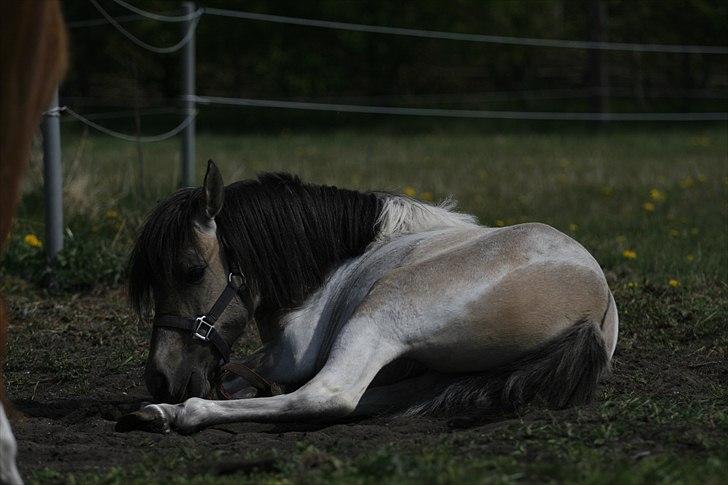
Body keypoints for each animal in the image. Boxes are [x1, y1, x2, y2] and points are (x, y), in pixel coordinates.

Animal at [116, 161, 616, 432]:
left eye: (191, 271)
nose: (160, 377)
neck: (331, 262)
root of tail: (593, 309)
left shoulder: (289, 356)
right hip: (433, 372)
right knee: (374, 398)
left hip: (380, 315)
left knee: (328, 395)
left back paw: (175, 413)